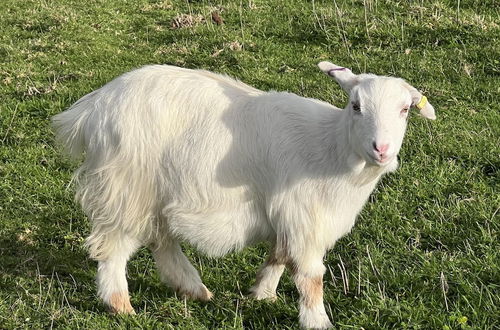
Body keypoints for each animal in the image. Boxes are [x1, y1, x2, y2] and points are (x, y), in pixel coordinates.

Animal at [51, 61, 434, 328]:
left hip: (153, 193)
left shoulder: (288, 214)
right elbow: (310, 276)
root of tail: (93, 107)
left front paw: (262, 294)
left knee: (162, 241)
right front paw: (318, 321)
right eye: (356, 105)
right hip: (127, 187)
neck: (331, 150)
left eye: (405, 109)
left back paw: (194, 289)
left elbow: (279, 255)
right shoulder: (304, 216)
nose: (382, 149)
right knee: (115, 246)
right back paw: (121, 305)